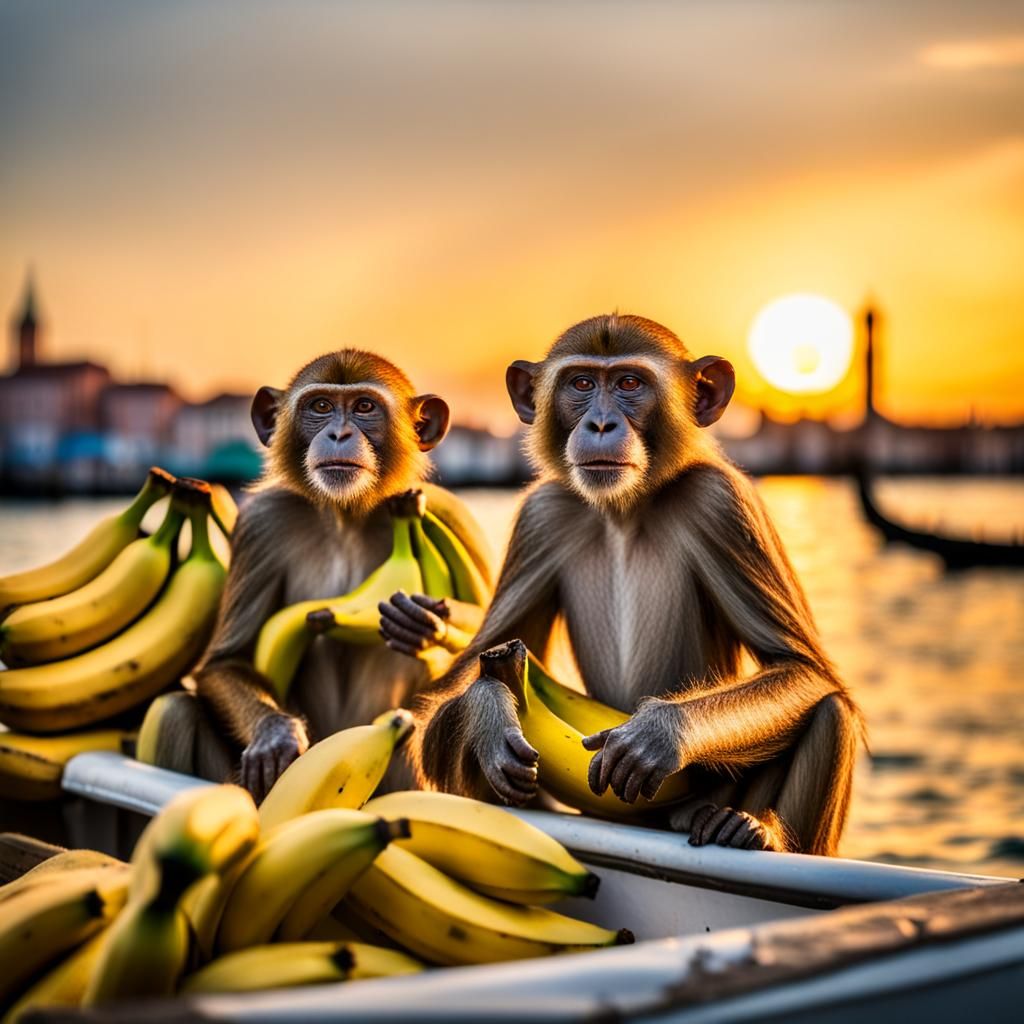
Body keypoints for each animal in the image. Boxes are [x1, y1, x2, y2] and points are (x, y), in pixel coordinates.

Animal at [148, 349, 493, 801]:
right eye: (322, 406)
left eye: (364, 407)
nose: (339, 434)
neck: (345, 514)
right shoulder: (262, 523)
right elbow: (226, 659)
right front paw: (276, 733)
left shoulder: (450, 513)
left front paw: (425, 622)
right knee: (175, 709)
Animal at [402, 314, 863, 856]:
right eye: (582, 384)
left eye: (628, 383)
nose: (601, 424)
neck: (624, 509)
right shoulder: (541, 517)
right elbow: (457, 685)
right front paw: (489, 711)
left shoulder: (721, 501)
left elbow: (801, 667)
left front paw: (662, 732)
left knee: (829, 709)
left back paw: (752, 828)